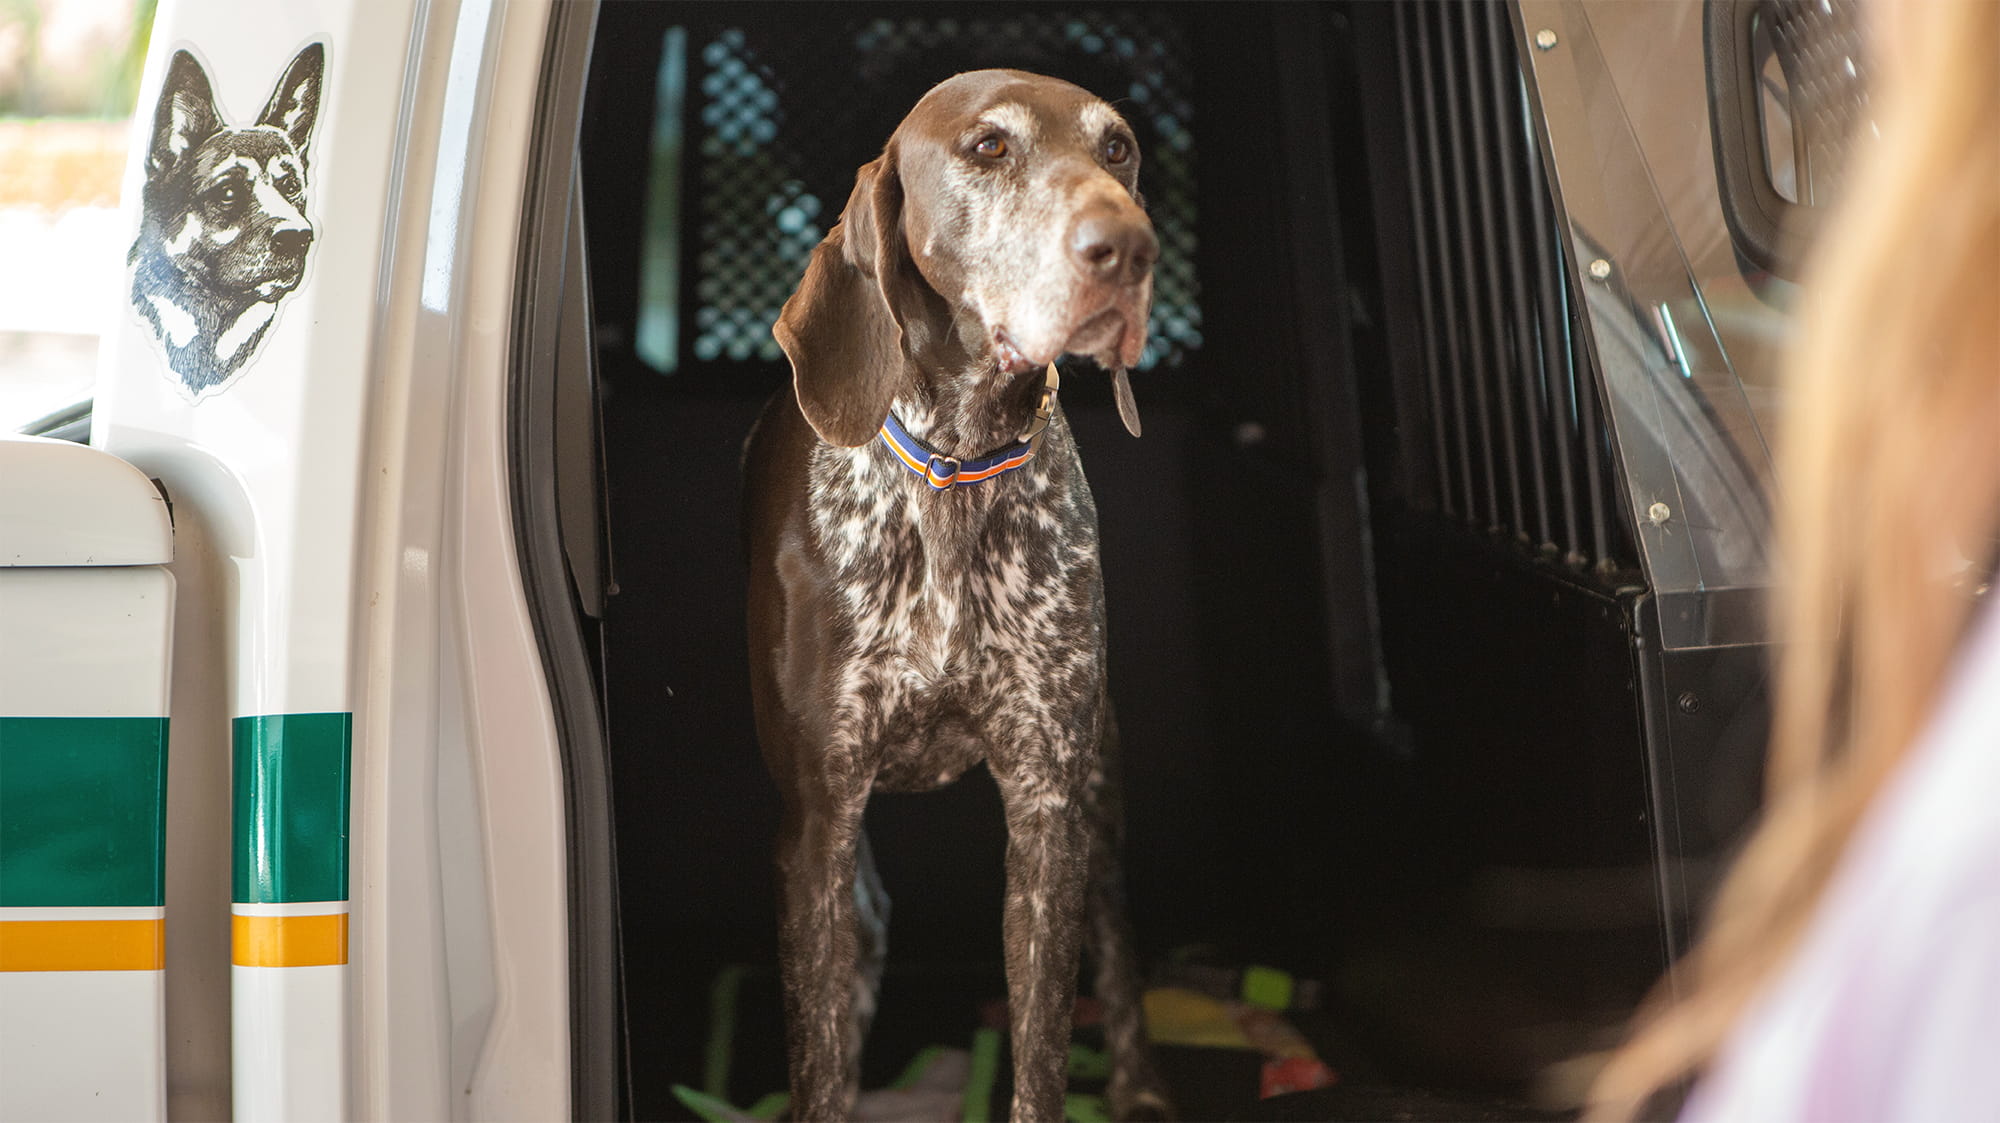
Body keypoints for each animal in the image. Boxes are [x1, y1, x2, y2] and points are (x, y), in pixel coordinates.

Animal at [748, 71, 1168, 1119]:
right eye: (988, 148)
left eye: (1119, 150)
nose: (1128, 248)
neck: (958, 463)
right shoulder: (815, 824)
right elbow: (818, 1059)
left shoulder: (1048, 807)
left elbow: (1043, 1052)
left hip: (1099, 781)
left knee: (1118, 933)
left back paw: (1140, 1083)